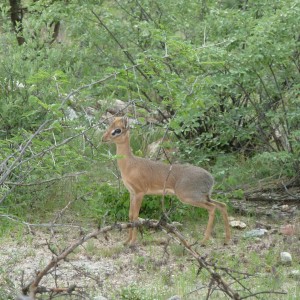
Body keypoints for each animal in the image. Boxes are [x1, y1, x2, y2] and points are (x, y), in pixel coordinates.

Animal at [102, 116, 231, 245]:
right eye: (109, 126)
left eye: (117, 130)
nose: (103, 138)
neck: (130, 164)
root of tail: (211, 178)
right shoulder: (131, 193)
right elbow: (130, 215)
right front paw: (126, 241)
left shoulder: (140, 193)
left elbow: (135, 217)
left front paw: (132, 242)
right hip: (204, 197)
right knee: (222, 205)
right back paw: (226, 239)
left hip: (190, 197)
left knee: (212, 208)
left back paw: (204, 240)